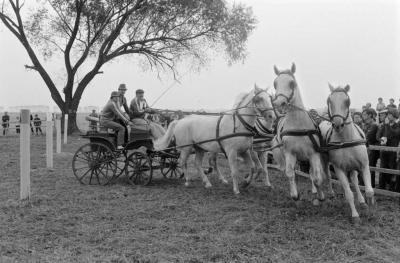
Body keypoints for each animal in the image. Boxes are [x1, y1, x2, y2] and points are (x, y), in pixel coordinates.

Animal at [272, 63, 324, 204]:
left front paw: (321, 196)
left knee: (312, 173)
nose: (279, 103)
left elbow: (317, 177)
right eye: (275, 83)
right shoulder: (290, 153)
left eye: (292, 83)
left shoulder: (314, 154)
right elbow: (290, 173)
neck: (299, 126)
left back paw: (315, 190)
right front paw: (295, 195)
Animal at [318, 84, 376, 225]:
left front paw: (369, 210)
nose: (338, 124)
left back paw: (362, 201)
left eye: (347, 101)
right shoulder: (339, 169)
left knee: (354, 180)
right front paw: (355, 216)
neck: (346, 140)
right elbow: (349, 194)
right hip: (325, 161)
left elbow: (369, 191)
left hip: (353, 166)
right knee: (327, 175)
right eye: (329, 101)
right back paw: (331, 194)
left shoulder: (364, 165)